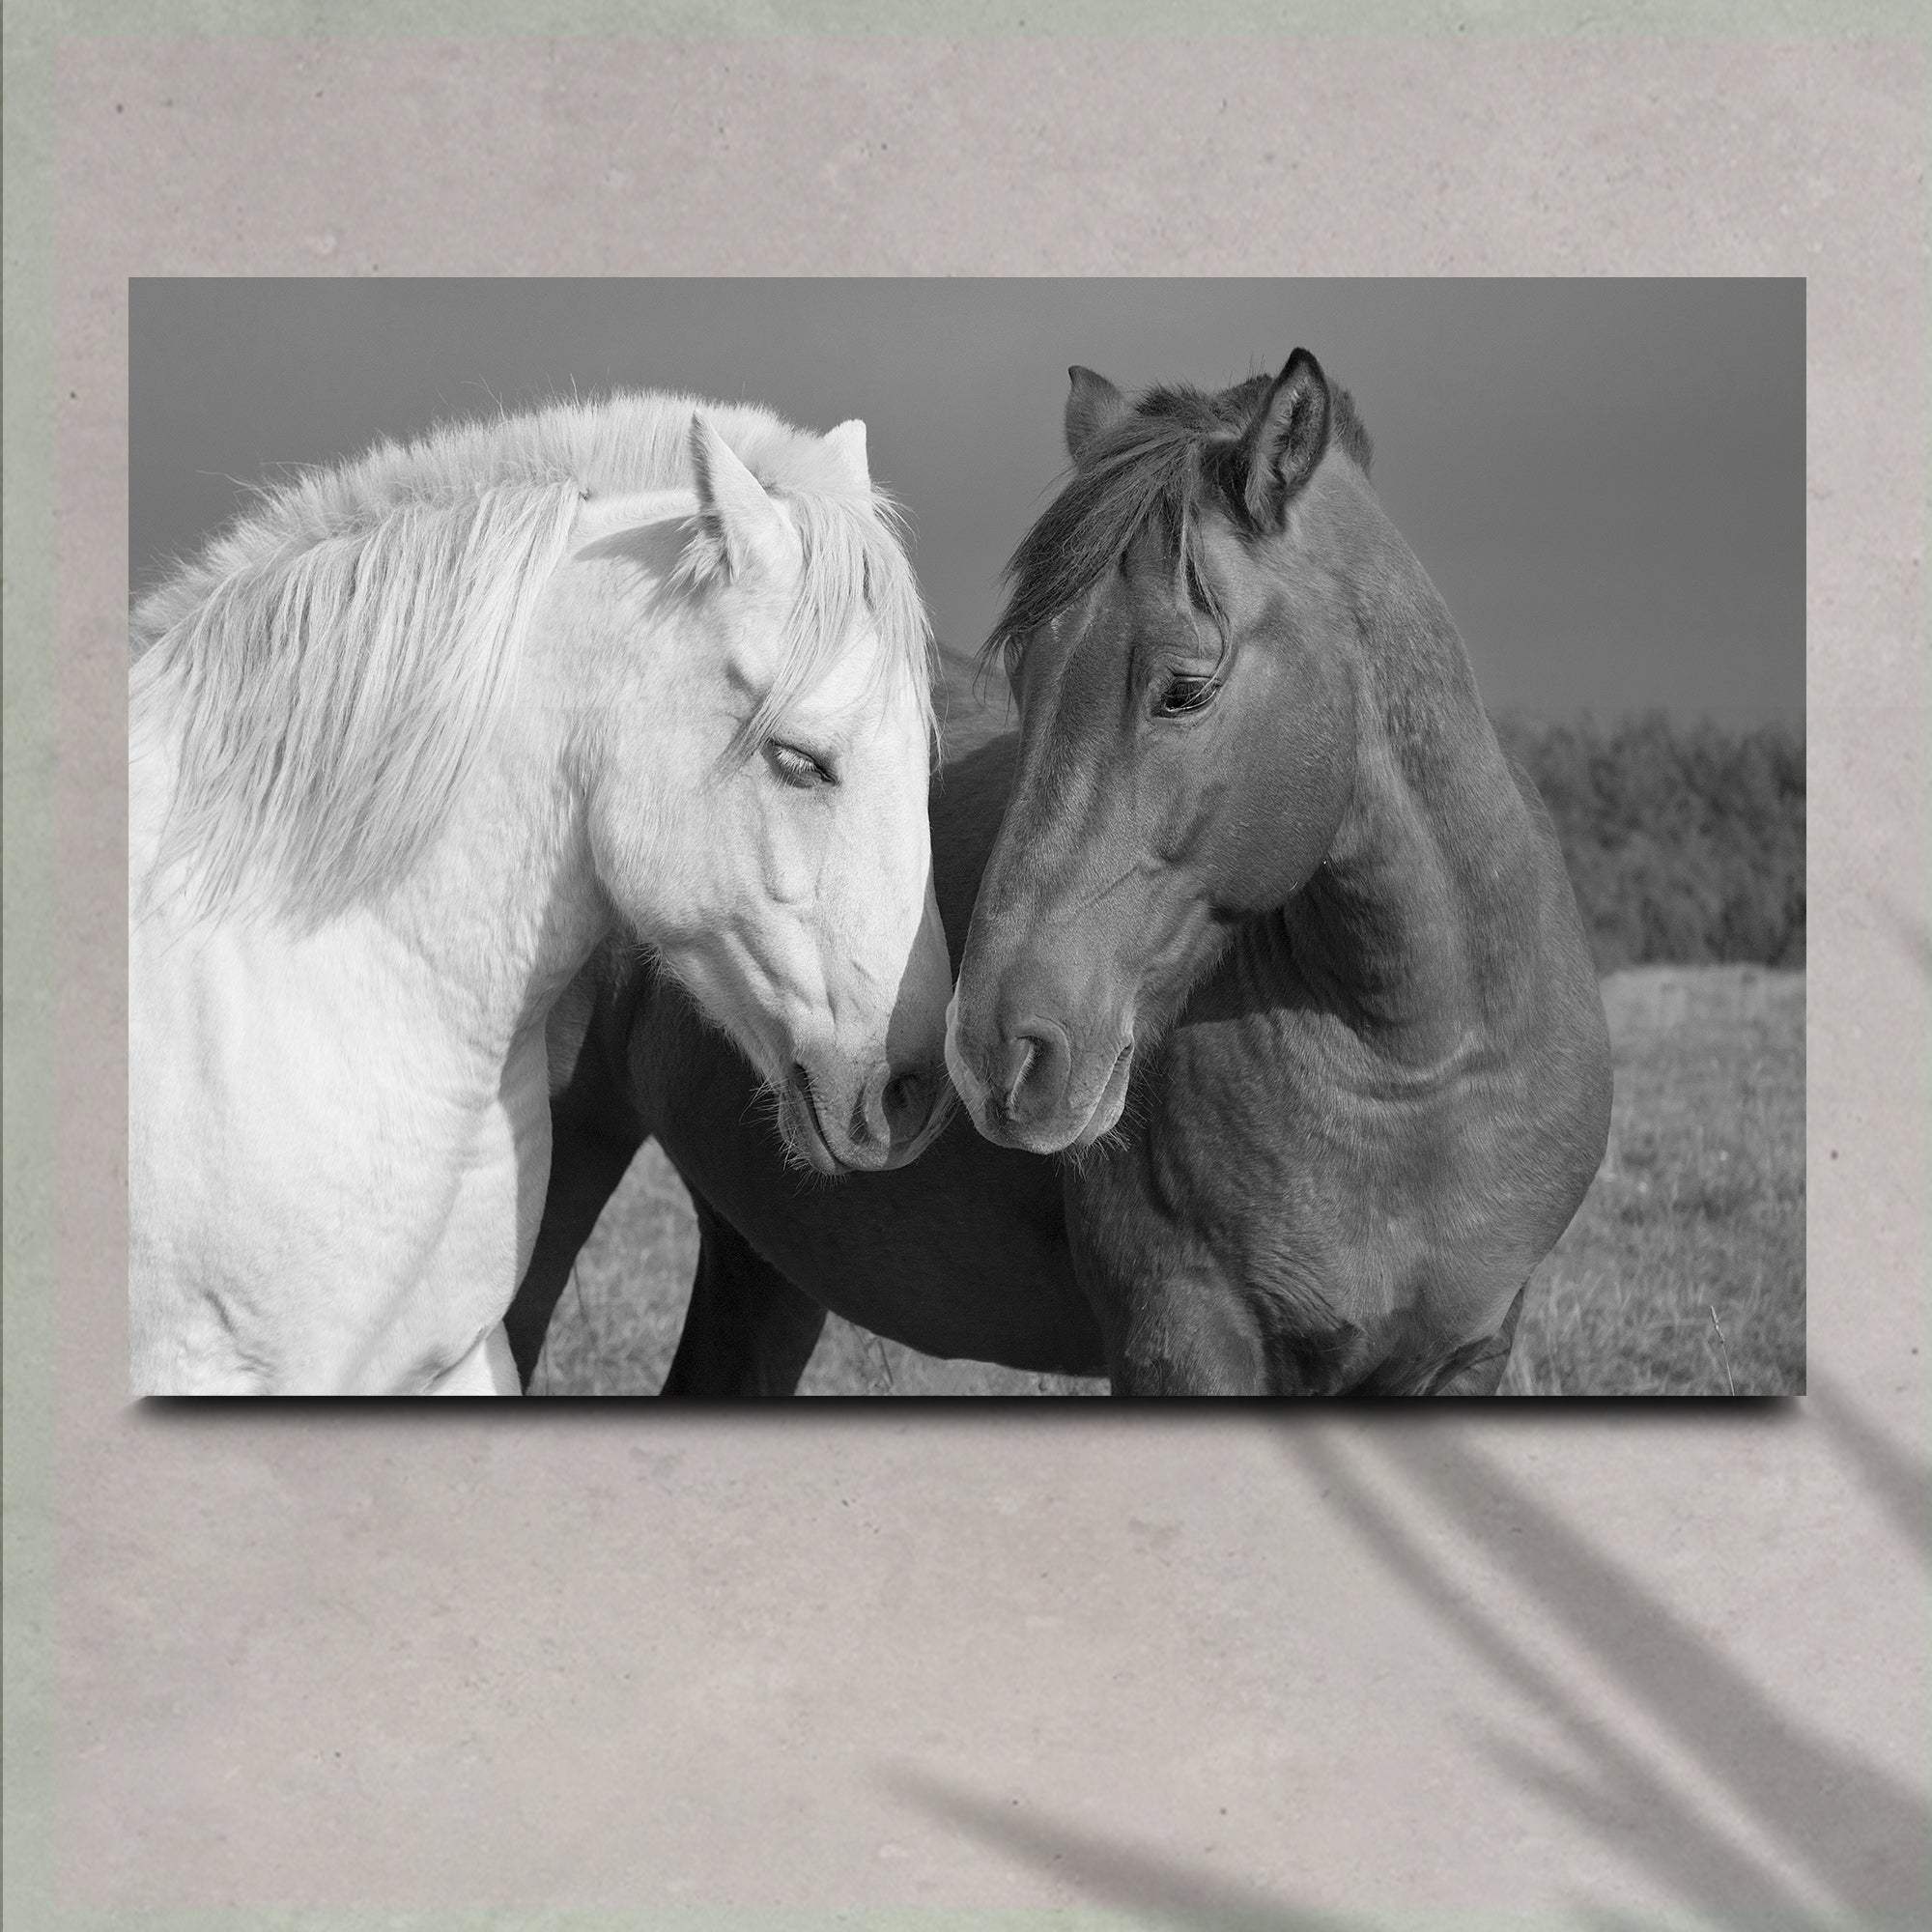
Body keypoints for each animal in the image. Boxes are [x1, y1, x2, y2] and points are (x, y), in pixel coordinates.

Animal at [508, 348, 1613, 1397]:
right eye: (1024, 675)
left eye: (1186, 687)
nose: (998, 1050)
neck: (1416, 1061)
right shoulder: (1181, 1338)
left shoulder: (1461, 1354)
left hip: (765, 1252)